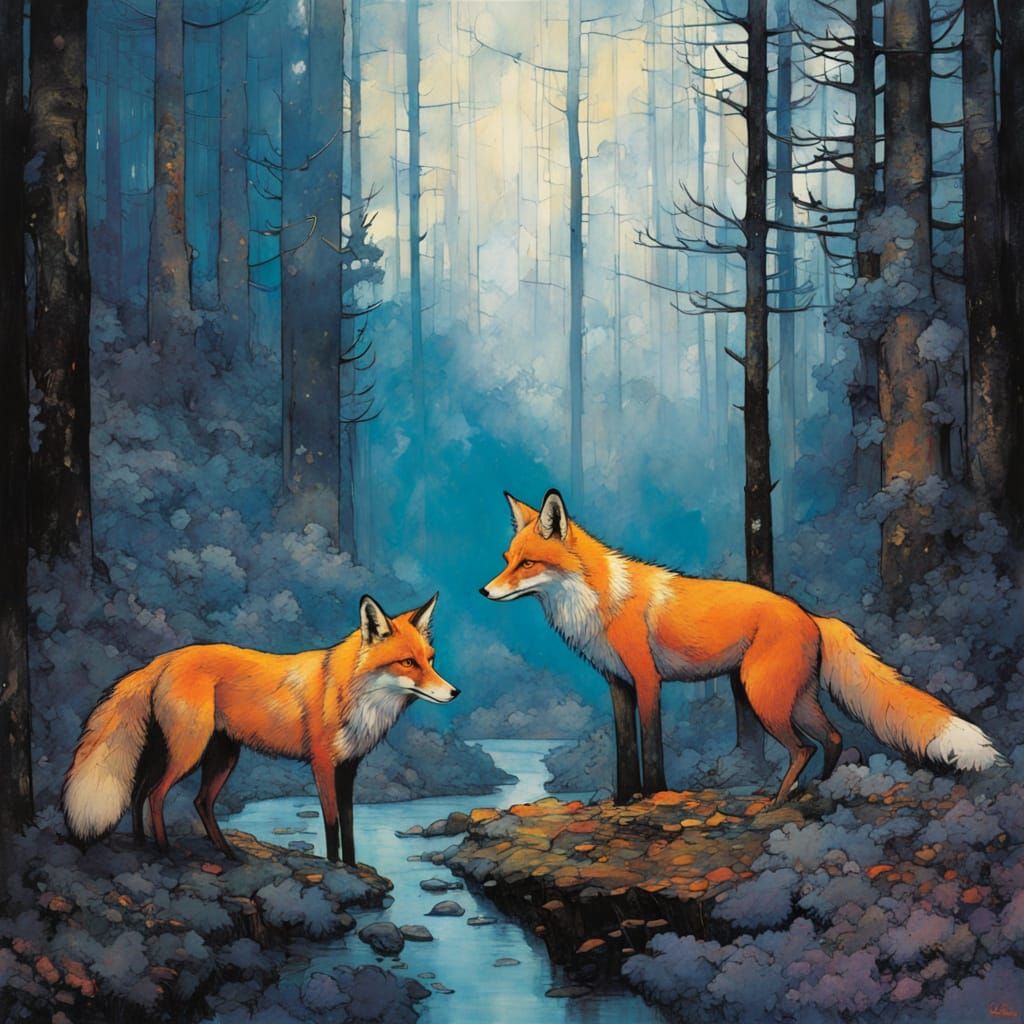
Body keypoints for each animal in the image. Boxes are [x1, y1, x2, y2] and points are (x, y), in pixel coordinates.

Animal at [63, 593, 459, 865]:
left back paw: (192, 849)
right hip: (188, 751)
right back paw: (164, 850)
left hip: (214, 755)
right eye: (407, 663)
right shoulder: (322, 764)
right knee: (156, 795)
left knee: (163, 795)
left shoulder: (348, 768)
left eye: (431, 659)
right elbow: (331, 825)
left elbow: (348, 827)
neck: (355, 695)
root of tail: (165, 658)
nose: (454, 692)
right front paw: (336, 867)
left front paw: (351, 868)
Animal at [481, 489, 1004, 806]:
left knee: (804, 747)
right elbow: (625, 751)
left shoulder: (647, 682)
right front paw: (625, 800)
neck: (598, 602)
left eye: (527, 564)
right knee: (834, 739)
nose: (485, 591)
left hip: (763, 696)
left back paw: (778, 800)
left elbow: (651, 747)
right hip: (793, 697)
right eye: (507, 560)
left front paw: (655, 796)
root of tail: (812, 614)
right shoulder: (617, 685)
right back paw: (817, 790)